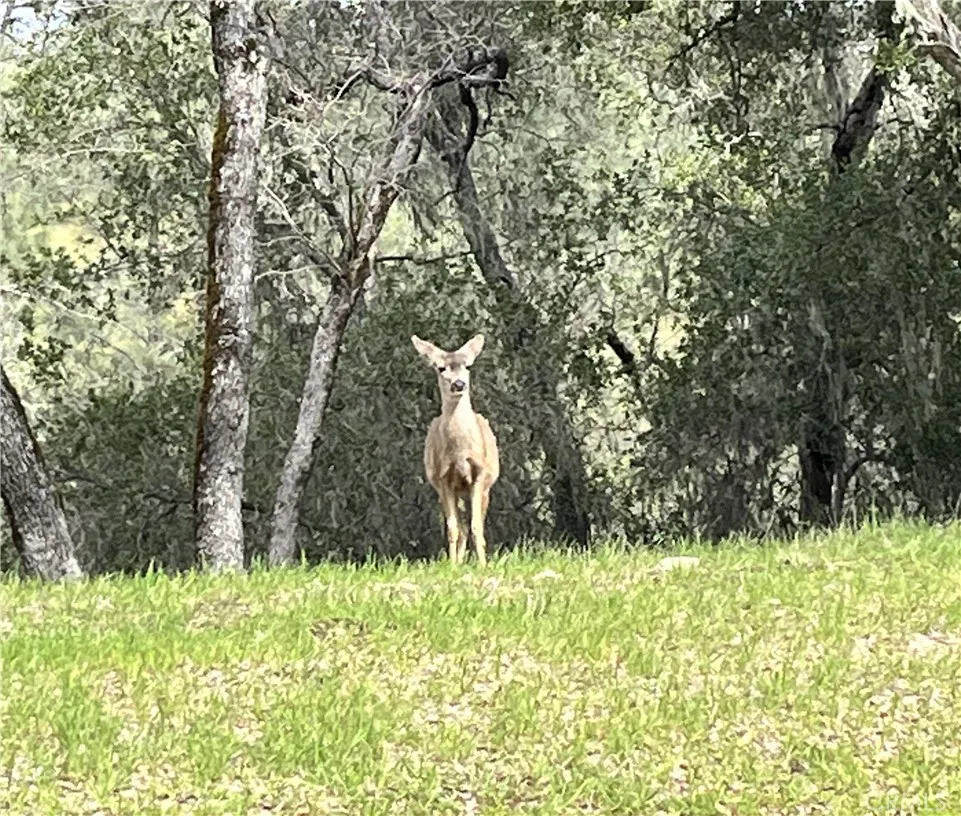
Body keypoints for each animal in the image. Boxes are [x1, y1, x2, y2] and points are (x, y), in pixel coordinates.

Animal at [412, 333, 500, 566]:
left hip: (485, 488)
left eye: (467, 366)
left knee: (472, 523)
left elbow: (477, 527)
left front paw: (482, 565)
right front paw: (452, 566)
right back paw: (458, 562)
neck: (460, 452)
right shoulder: (443, 478)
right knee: (460, 525)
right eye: (441, 368)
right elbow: (453, 529)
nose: (459, 384)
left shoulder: (479, 474)